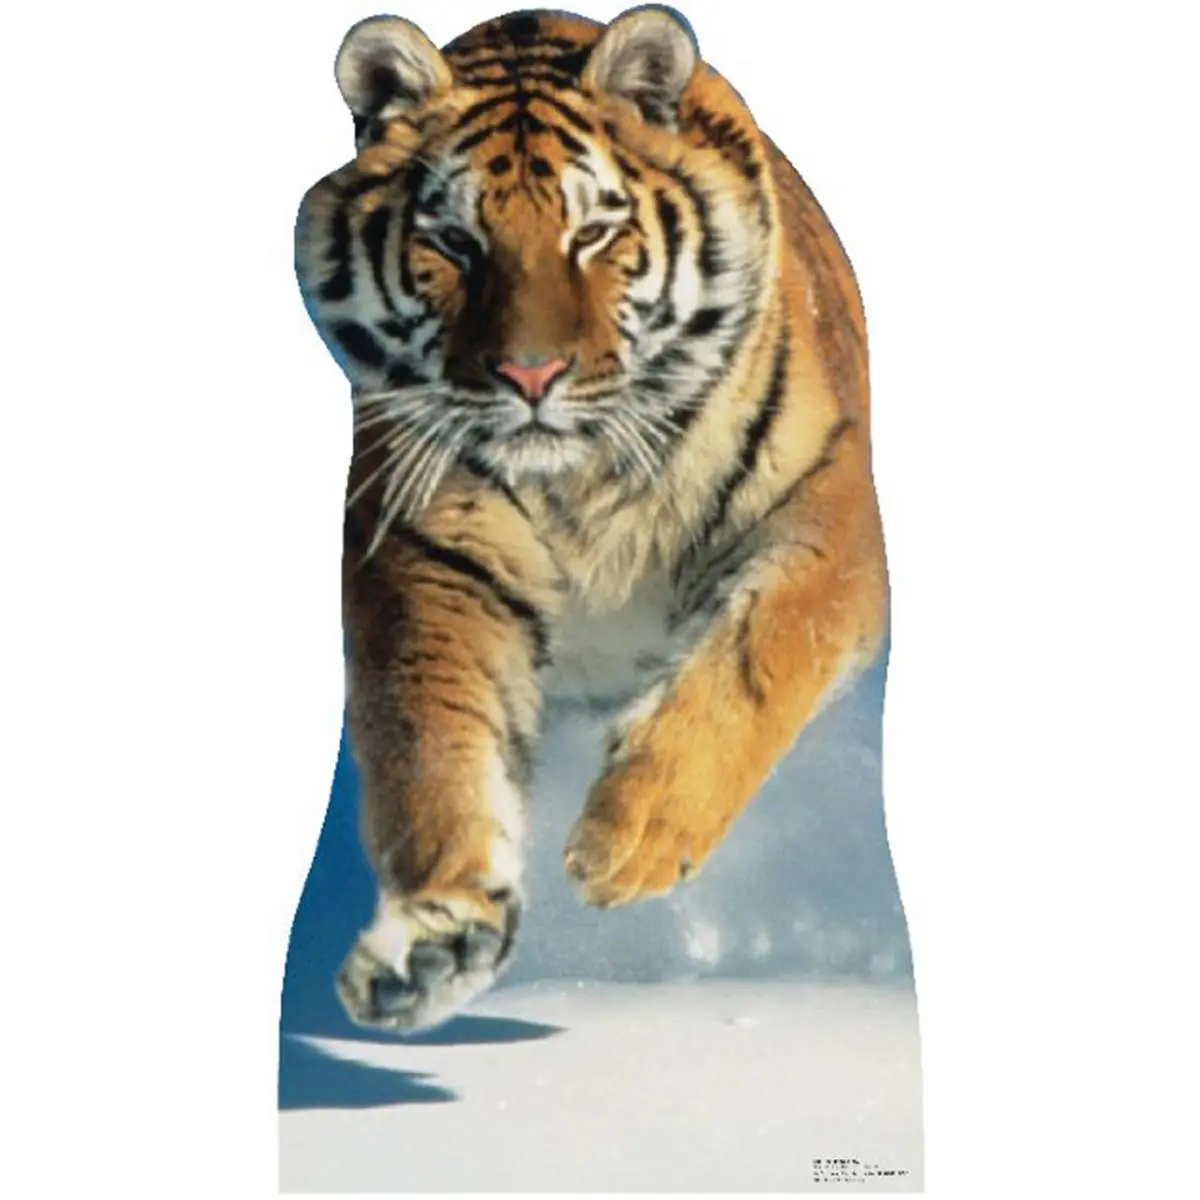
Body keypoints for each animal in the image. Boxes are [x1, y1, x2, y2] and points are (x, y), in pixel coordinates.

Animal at [294, 6, 888, 1032]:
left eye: (594, 234)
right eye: (455, 242)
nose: (530, 375)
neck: (584, 484)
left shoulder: (828, 518)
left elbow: (761, 655)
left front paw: (633, 837)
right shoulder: (431, 556)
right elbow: (435, 746)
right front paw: (436, 939)